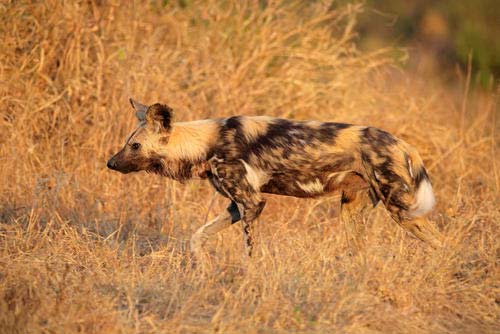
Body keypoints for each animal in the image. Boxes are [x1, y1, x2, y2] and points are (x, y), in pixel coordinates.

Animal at [108, 98, 442, 258]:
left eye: (134, 146)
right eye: (127, 143)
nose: (110, 163)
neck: (207, 141)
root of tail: (403, 143)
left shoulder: (252, 203)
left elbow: (250, 250)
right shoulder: (236, 206)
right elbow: (197, 237)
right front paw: (202, 268)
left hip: (402, 210)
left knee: (442, 242)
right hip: (351, 211)